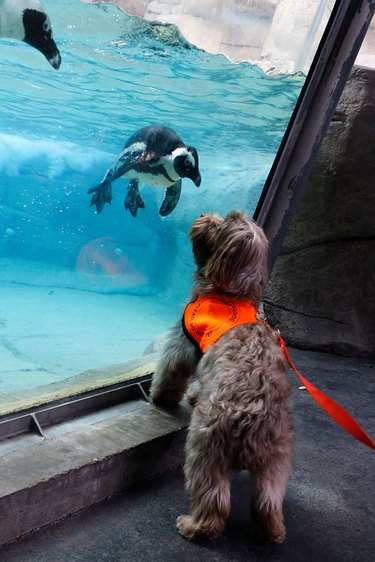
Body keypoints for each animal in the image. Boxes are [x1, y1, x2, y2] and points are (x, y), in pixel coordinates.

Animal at [151, 211, 296, 544]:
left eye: (227, 219)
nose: (205, 214)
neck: (234, 292)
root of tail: (253, 420)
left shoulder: (183, 340)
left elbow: (171, 370)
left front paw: (161, 397)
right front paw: (192, 396)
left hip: (205, 447)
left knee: (213, 497)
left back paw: (194, 526)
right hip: (277, 460)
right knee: (268, 500)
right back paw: (273, 531)